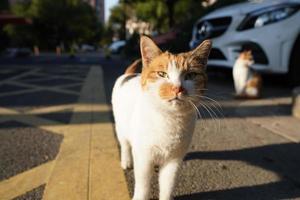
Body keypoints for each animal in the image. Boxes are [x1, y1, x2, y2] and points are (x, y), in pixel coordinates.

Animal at [111, 36, 212, 200]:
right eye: (162, 74)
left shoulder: (174, 160)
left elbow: (167, 186)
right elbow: (143, 185)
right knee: (125, 144)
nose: (177, 88)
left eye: (190, 75)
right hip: (121, 127)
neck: (169, 119)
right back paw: (126, 161)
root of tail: (128, 75)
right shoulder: (144, 157)